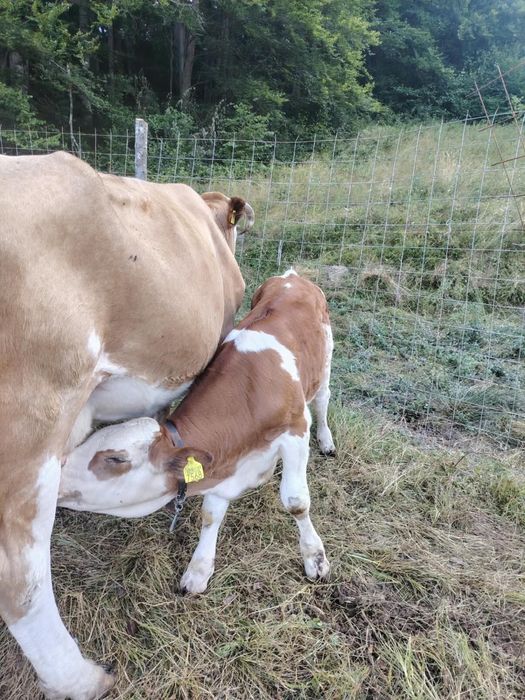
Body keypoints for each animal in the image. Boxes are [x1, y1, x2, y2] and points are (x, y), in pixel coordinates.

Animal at [59, 270, 335, 601]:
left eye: (115, 458)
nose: (57, 473)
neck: (248, 393)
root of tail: (293, 277)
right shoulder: (221, 461)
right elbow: (211, 514)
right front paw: (199, 569)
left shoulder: (295, 429)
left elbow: (296, 502)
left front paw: (314, 557)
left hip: (326, 360)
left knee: (323, 398)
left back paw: (327, 440)